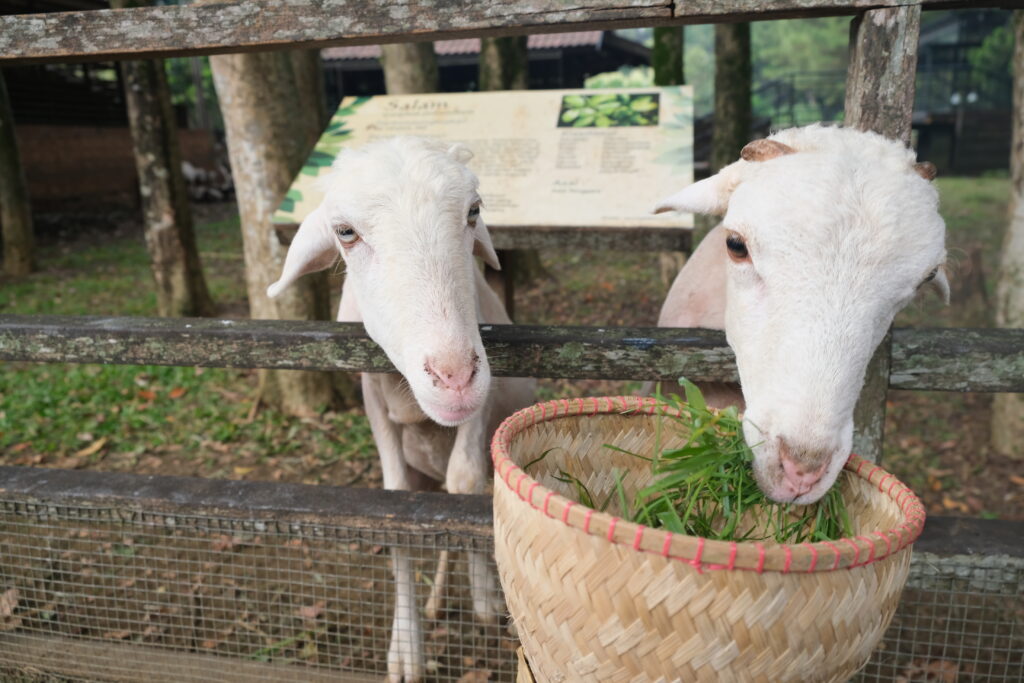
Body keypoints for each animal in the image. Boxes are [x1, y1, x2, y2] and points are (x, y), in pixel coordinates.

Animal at [264, 136, 536, 679]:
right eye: (345, 232)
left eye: (473, 211)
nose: (453, 378)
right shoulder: (373, 402)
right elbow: (399, 509)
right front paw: (407, 649)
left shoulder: (484, 395)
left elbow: (464, 488)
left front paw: (481, 594)